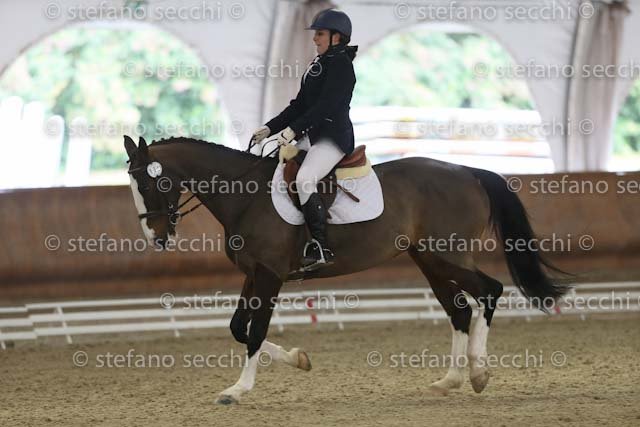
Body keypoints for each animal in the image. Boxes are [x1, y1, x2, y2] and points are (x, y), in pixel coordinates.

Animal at [124, 135, 569, 404]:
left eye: (150, 185)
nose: (155, 237)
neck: (246, 196)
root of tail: (469, 172)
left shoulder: (270, 274)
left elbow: (256, 330)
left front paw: (239, 388)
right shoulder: (253, 273)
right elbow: (239, 328)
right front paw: (299, 359)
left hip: (450, 254)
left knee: (490, 291)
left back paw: (478, 373)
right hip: (429, 259)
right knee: (459, 311)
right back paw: (452, 379)